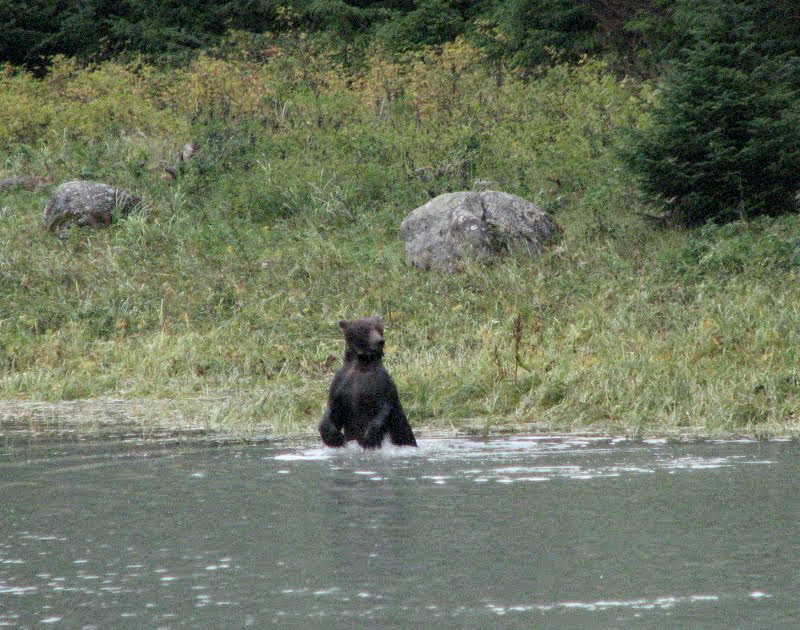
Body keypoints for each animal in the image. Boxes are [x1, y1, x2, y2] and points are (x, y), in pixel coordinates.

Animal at [318, 316, 418, 450]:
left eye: (379, 328)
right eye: (364, 328)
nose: (379, 341)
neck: (362, 363)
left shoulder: (380, 383)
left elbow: (384, 408)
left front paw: (370, 438)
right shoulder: (342, 382)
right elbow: (333, 409)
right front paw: (333, 437)